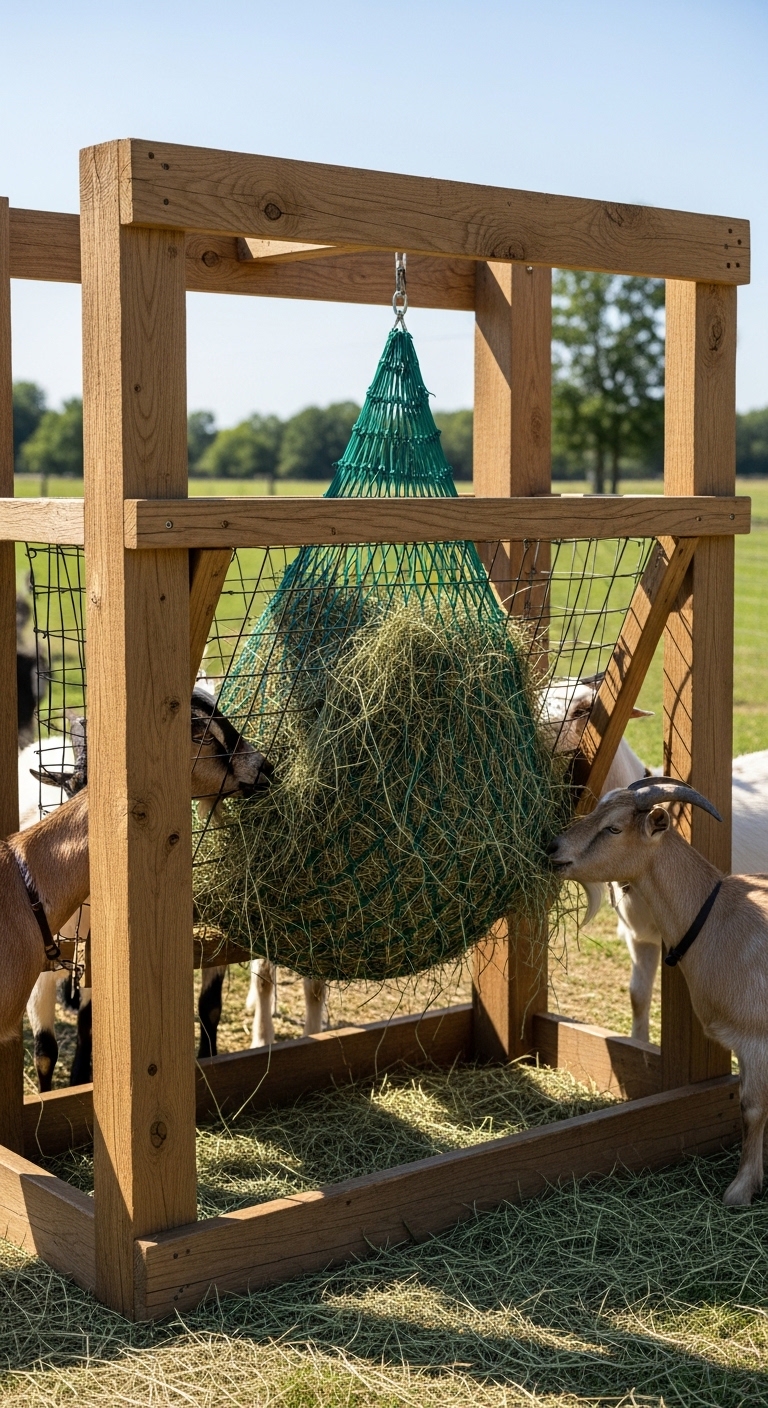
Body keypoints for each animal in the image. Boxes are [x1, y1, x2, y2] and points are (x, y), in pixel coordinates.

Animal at [548, 776, 768, 1206]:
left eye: (614, 828)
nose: (554, 849)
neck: (718, 916)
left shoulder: (755, 1038)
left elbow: (751, 1108)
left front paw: (739, 1190)